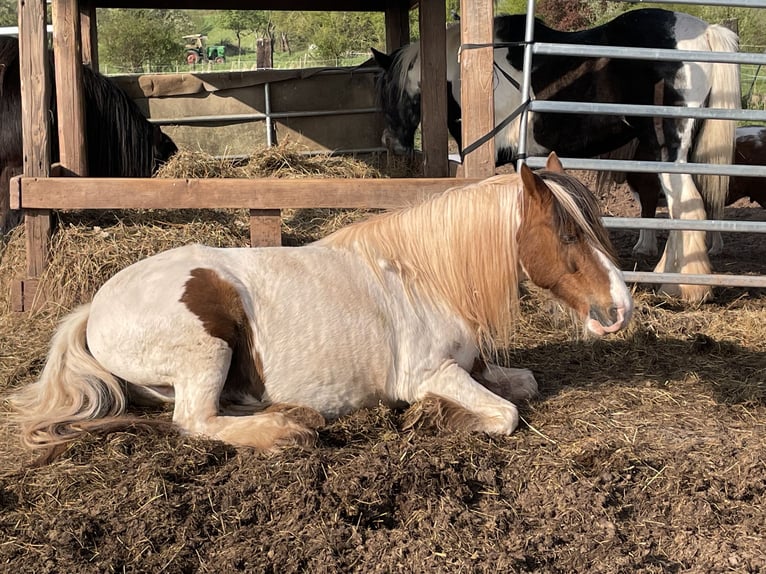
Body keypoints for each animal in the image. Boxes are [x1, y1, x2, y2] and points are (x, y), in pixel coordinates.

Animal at [13, 154, 636, 460]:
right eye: (566, 234)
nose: (620, 310)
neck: (429, 277)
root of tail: (94, 309)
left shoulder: (474, 366)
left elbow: (523, 384)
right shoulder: (429, 374)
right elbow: (504, 414)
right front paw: (438, 417)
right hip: (206, 350)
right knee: (196, 422)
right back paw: (284, 431)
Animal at [372, 7, 744, 306]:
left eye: (389, 90)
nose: (393, 144)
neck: (470, 76)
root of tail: (704, 32)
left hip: (667, 149)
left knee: (688, 208)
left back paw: (684, 288)